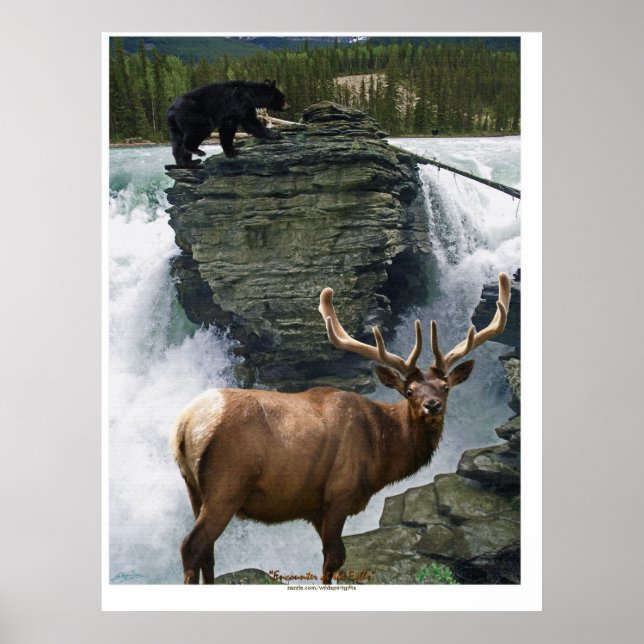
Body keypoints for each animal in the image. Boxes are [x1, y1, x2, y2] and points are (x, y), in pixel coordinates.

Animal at [171, 272, 511, 584]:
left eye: (445, 387)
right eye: (409, 391)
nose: (432, 406)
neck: (381, 454)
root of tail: (183, 426)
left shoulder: (316, 508)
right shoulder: (339, 493)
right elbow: (333, 560)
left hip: (193, 489)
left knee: (207, 552)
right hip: (227, 483)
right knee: (192, 546)